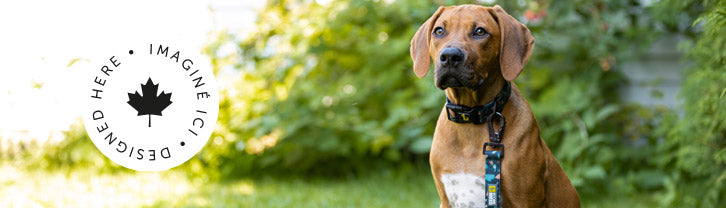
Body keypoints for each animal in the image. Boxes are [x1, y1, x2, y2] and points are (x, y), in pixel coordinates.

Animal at [412, 4, 584, 207]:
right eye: (439, 31)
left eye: (480, 31)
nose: (450, 56)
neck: (471, 120)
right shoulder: (446, 199)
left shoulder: (525, 199)